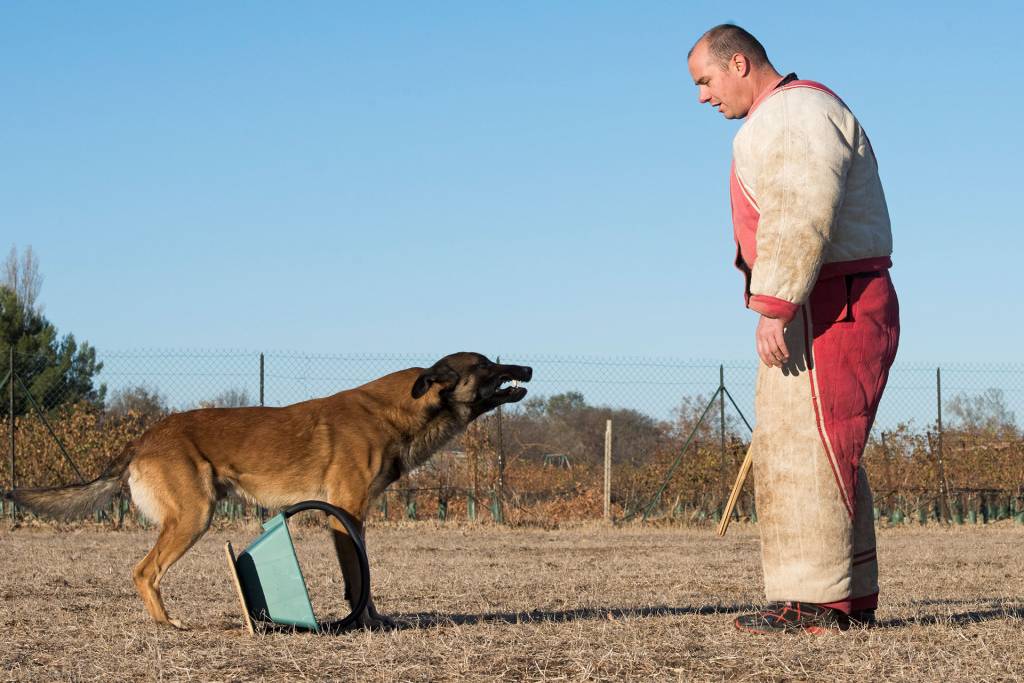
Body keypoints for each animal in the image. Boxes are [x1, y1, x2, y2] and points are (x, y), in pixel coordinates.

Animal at [8, 352, 532, 630]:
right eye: (486, 365)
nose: (525, 368)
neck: (396, 411)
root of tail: (143, 438)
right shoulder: (345, 513)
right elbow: (358, 578)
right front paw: (364, 622)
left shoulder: (352, 517)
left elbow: (363, 579)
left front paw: (374, 620)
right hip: (194, 516)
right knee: (143, 571)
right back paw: (167, 623)